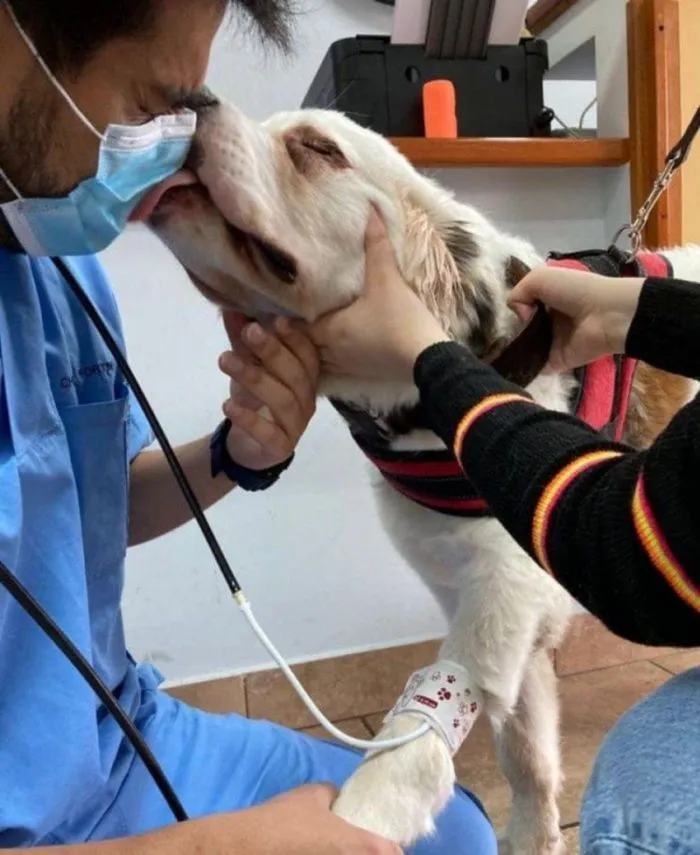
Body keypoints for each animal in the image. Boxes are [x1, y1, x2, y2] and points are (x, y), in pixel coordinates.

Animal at [144, 100, 700, 854]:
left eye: (317, 148)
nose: (195, 103)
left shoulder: (497, 605)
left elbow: (408, 753)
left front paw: (345, 825)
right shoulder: (497, 623)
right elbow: (525, 760)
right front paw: (532, 836)